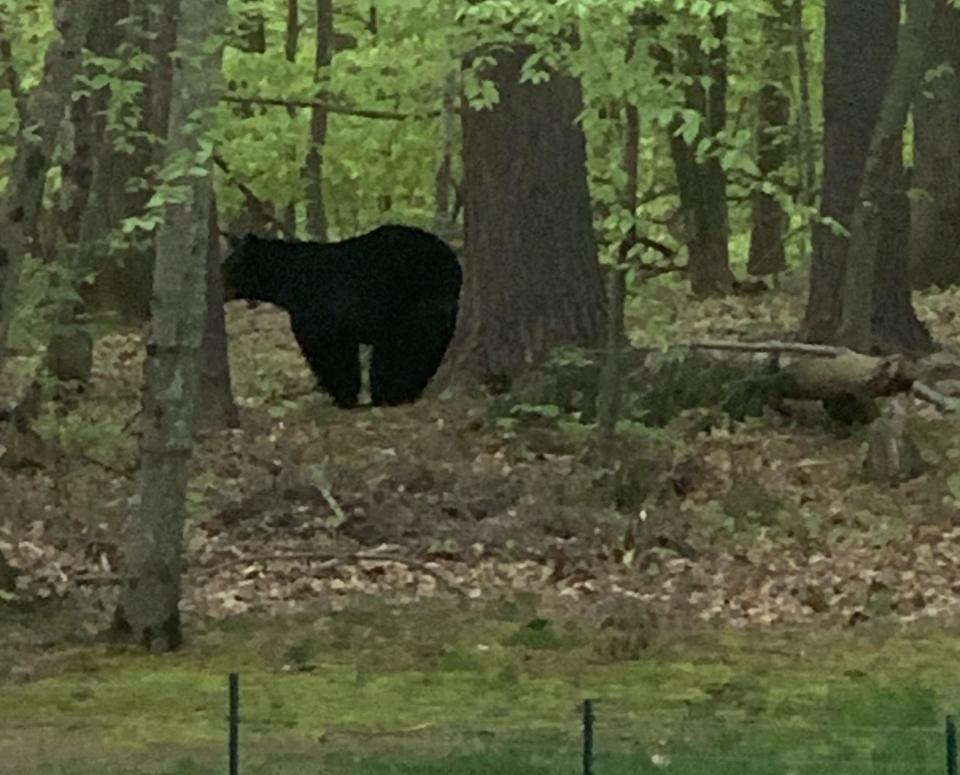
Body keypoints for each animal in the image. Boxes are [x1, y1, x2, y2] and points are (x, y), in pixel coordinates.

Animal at [221, 224, 462, 410]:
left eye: (227, 265)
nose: (218, 286)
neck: (288, 279)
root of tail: (454, 264)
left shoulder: (319, 312)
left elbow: (329, 352)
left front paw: (344, 396)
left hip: (414, 306)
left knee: (406, 348)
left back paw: (391, 392)